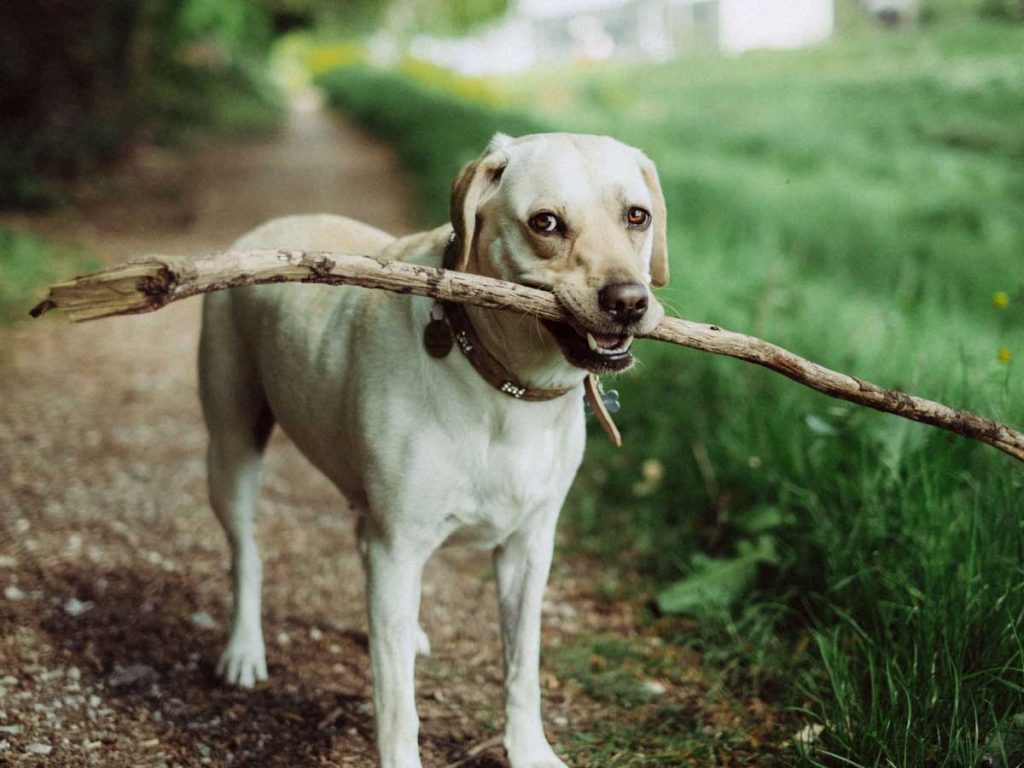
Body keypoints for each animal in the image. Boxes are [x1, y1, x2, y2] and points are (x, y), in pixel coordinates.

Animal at [196, 134, 667, 768]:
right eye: (545, 223)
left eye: (637, 216)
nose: (629, 301)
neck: (504, 387)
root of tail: (263, 229)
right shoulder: (399, 546)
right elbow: (398, 706)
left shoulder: (528, 548)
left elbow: (522, 668)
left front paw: (529, 749)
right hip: (232, 447)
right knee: (247, 553)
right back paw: (245, 650)